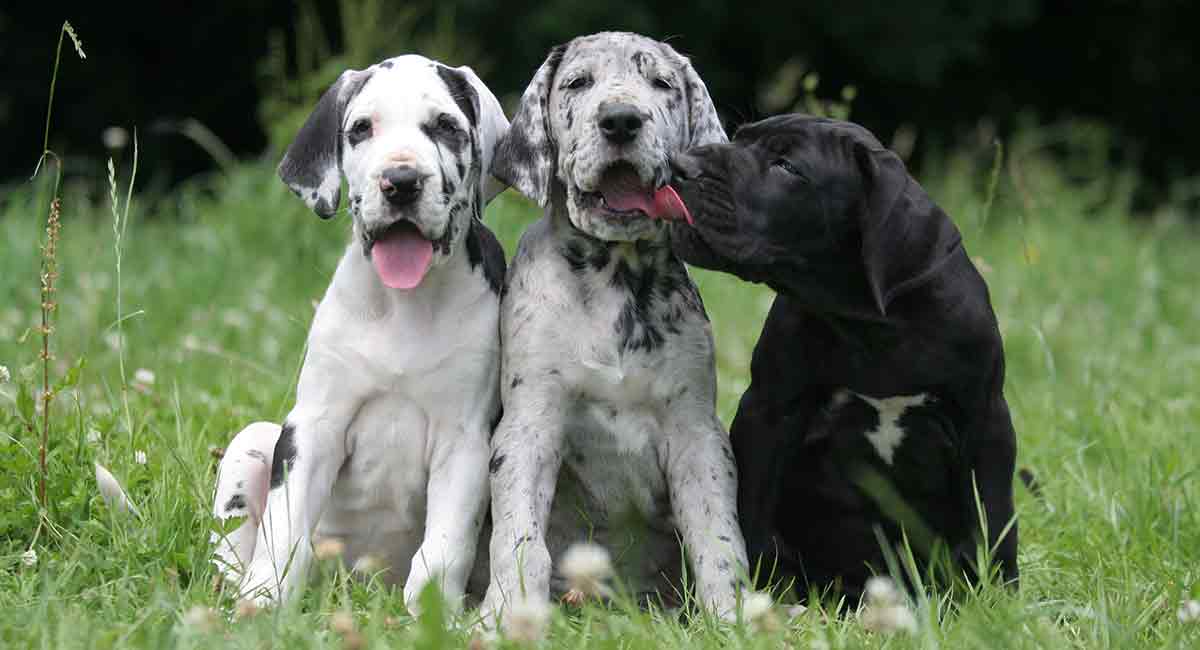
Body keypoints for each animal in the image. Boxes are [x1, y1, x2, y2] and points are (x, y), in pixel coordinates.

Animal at [208, 54, 508, 611]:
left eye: (446, 126)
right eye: (362, 128)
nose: (401, 180)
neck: (403, 305)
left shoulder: (466, 442)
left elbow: (444, 547)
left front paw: (428, 615)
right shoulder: (313, 427)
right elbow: (285, 530)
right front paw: (264, 602)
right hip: (254, 441)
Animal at [480, 33, 744, 623]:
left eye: (661, 84)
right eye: (579, 83)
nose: (621, 120)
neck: (613, 279)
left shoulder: (696, 433)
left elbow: (716, 535)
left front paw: (735, 615)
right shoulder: (529, 427)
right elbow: (519, 537)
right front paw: (509, 611)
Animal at [672, 114, 1017, 604]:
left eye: (787, 167)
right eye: (738, 138)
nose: (679, 165)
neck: (870, 325)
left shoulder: (986, 422)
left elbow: (994, 517)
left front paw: (1000, 600)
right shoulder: (769, 413)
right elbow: (751, 512)